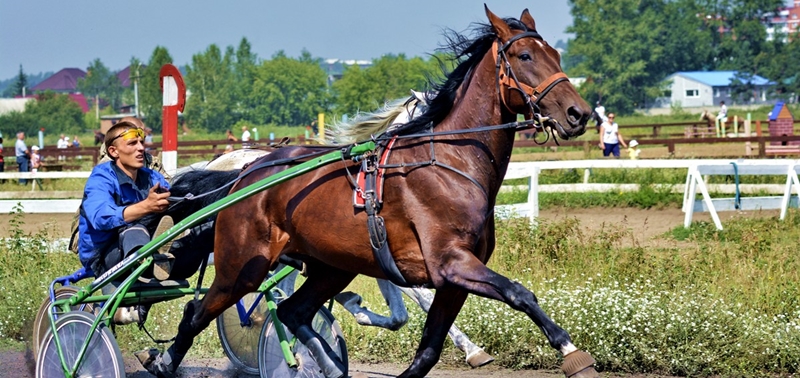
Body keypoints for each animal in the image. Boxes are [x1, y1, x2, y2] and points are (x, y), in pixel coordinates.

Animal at [141, 6, 596, 378]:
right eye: (525, 57)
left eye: (556, 56)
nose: (580, 113)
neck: (450, 164)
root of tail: (245, 175)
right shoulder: (450, 263)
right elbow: (520, 293)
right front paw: (572, 352)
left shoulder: (452, 278)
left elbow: (427, 351)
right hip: (243, 267)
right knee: (197, 311)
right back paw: (162, 360)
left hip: (330, 265)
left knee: (292, 310)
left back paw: (326, 361)